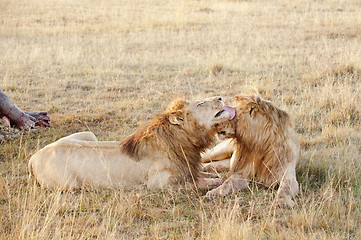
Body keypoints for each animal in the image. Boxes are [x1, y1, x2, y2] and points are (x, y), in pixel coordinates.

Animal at [28, 96, 236, 190]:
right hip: (68, 185)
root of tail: (35, 156)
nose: (220, 97)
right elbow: (195, 183)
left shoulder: (187, 167)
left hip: (89, 135)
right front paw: (214, 181)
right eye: (200, 103)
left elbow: (199, 174)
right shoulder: (159, 183)